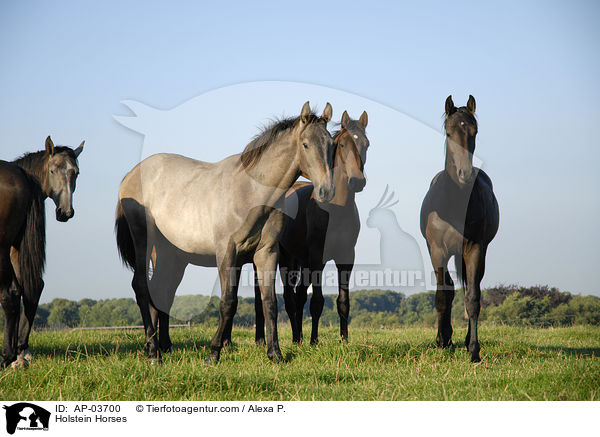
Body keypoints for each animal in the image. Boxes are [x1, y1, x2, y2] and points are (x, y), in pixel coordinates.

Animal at [0, 136, 83, 368]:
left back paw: (8, 356)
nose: (66, 212)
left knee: (11, 293)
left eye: (76, 172)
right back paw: (19, 351)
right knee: (30, 287)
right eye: (53, 170)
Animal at [115, 101, 336, 362]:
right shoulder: (227, 253)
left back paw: (163, 347)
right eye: (305, 144)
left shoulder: (266, 253)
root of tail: (130, 175)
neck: (251, 192)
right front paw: (214, 353)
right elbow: (228, 303)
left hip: (170, 255)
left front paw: (275, 354)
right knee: (141, 286)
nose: (326, 191)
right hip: (143, 240)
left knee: (161, 291)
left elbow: (270, 302)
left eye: (331, 145)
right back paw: (152, 352)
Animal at [420, 95, 500, 362]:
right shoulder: (437, 251)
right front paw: (442, 341)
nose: (464, 173)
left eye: (474, 132)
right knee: (449, 291)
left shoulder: (474, 248)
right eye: (448, 132)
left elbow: (473, 298)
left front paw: (474, 350)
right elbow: (442, 296)